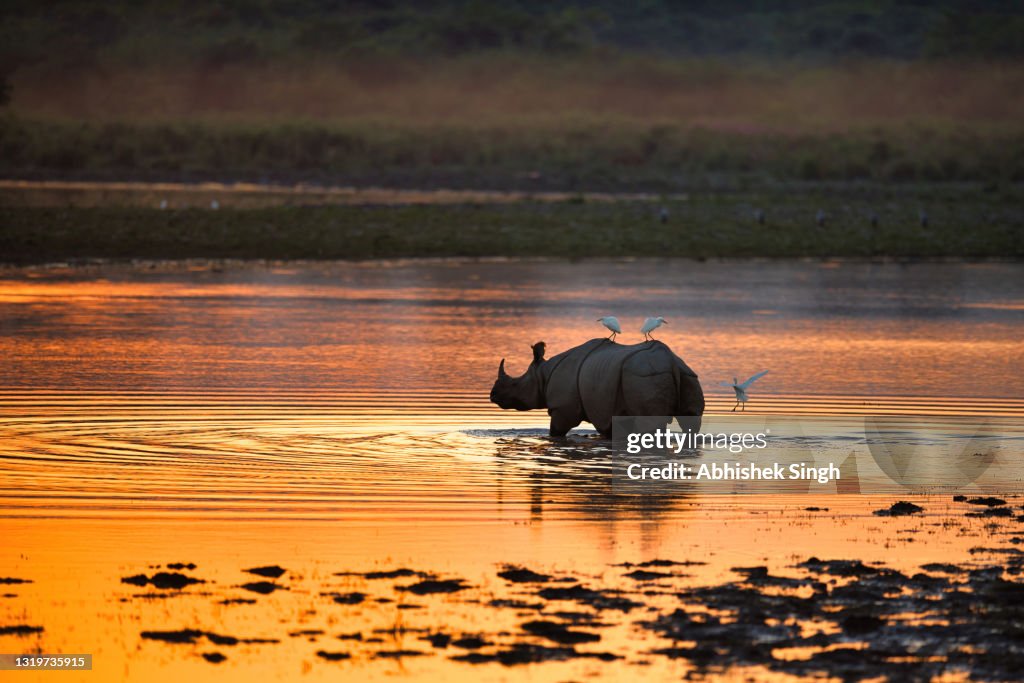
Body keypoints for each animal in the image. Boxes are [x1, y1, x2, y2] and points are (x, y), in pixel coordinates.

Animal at [490, 338, 704, 437]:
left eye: (514, 384)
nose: (493, 395)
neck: (543, 375)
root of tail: (671, 362)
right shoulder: (610, 409)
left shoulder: (563, 408)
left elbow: (556, 432)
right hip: (687, 375)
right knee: (691, 420)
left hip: (645, 376)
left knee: (650, 424)